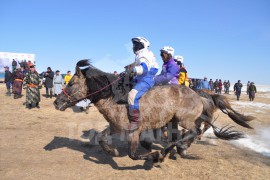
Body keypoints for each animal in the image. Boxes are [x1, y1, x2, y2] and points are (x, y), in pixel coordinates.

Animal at [53, 59, 254, 164]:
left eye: (71, 83)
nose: (57, 102)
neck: (116, 98)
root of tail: (198, 93)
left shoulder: (134, 131)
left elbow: (133, 154)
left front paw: (155, 155)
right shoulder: (116, 127)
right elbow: (102, 138)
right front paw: (113, 152)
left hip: (184, 120)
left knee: (194, 131)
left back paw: (174, 150)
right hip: (174, 121)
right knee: (183, 135)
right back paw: (178, 149)